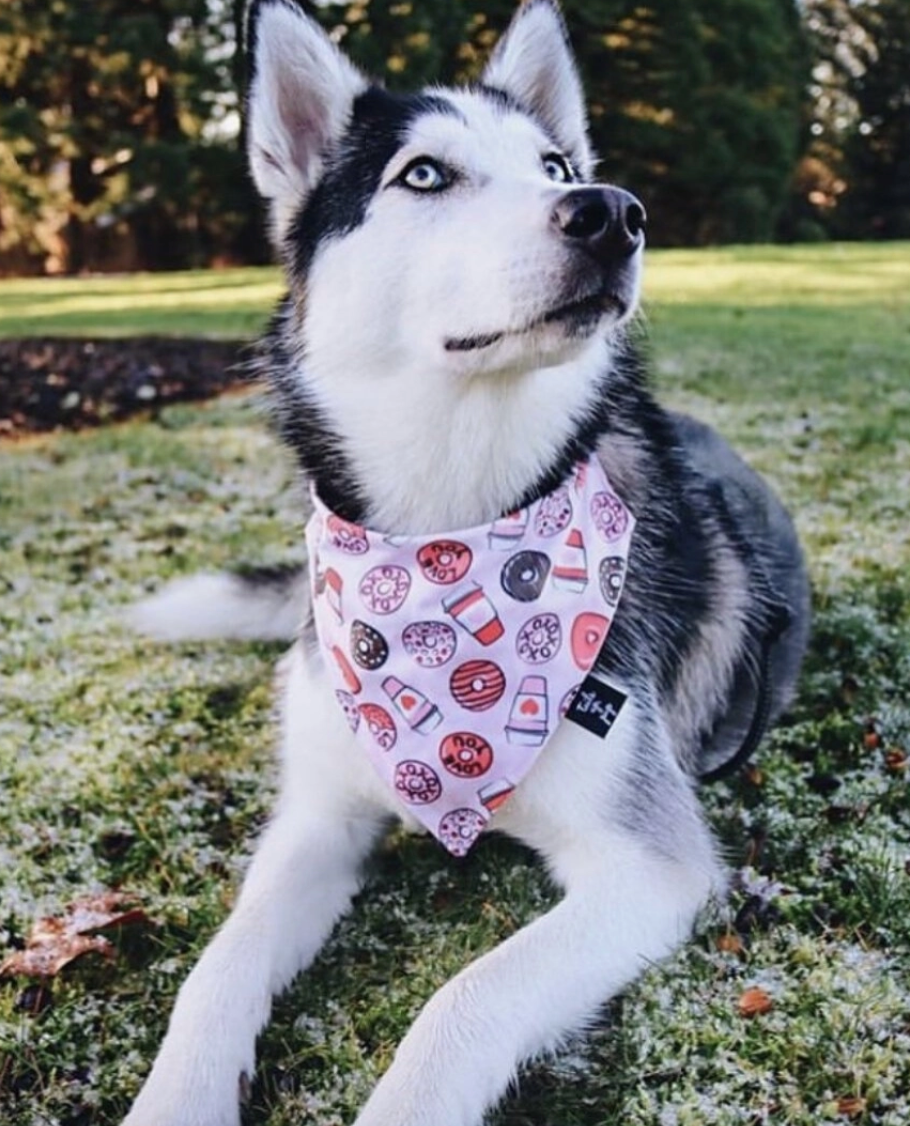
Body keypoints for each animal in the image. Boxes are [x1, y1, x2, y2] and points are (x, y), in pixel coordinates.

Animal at [122, 4, 810, 1121]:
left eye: (554, 165)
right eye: (425, 175)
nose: (612, 211)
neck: (445, 535)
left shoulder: (649, 867)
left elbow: (465, 999)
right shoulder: (316, 819)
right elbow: (218, 966)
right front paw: (176, 1097)